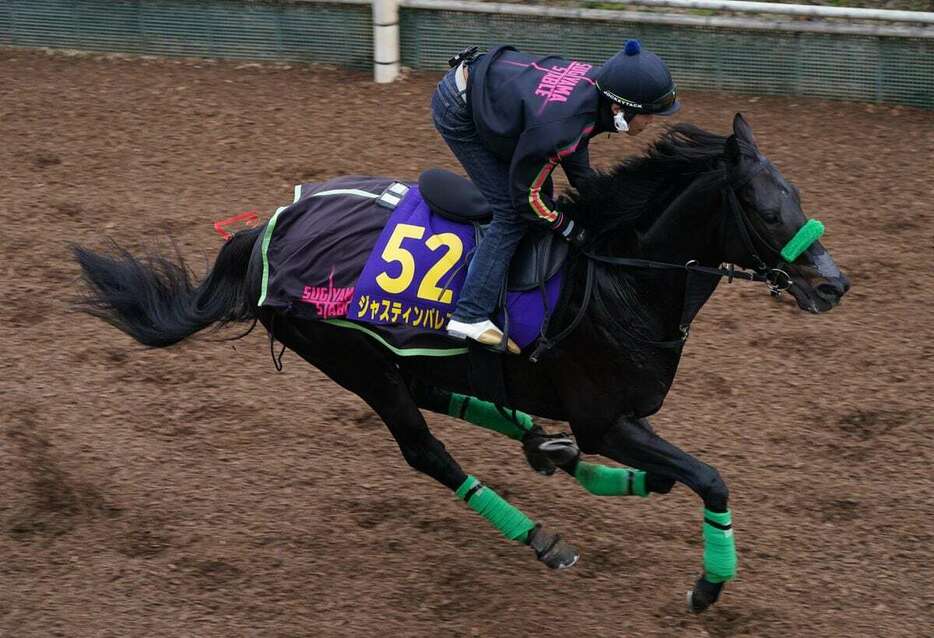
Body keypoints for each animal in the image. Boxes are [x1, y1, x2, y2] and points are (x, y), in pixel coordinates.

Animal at [73, 115, 848, 616]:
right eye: (761, 208)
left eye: (799, 197)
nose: (832, 284)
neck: (617, 275)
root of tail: (267, 229)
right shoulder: (605, 418)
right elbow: (708, 479)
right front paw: (707, 586)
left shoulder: (621, 418)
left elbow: (663, 477)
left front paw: (567, 457)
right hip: (353, 360)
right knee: (426, 448)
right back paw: (541, 535)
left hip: (404, 354)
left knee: (445, 395)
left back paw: (542, 447)